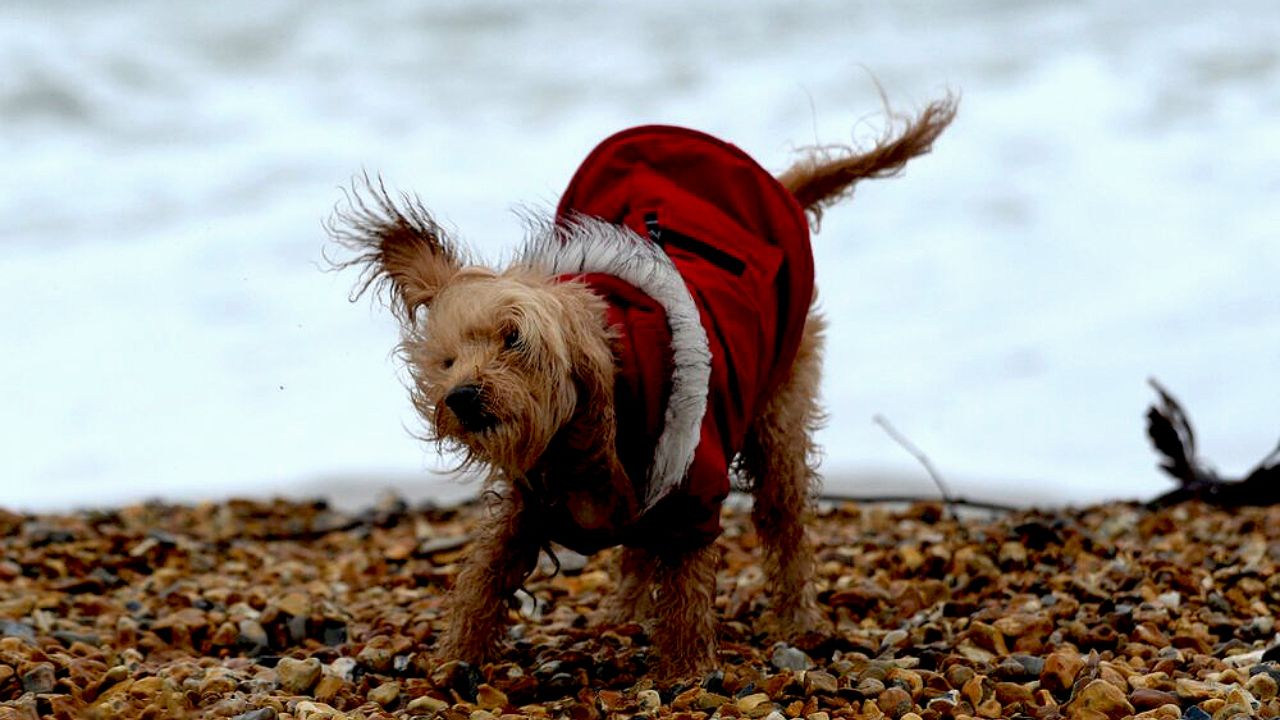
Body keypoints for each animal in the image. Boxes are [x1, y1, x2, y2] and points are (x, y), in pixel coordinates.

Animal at [330, 95, 952, 671]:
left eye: (514, 340)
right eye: (447, 361)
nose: (461, 397)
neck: (585, 431)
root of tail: (775, 185)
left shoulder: (691, 491)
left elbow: (685, 594)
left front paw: (687, 670)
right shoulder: (525, 506)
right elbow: (483, 580)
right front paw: (454, 657)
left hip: (778, 412)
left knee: (785, 519)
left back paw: (800, 620)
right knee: (637, 550)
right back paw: (620, 615)